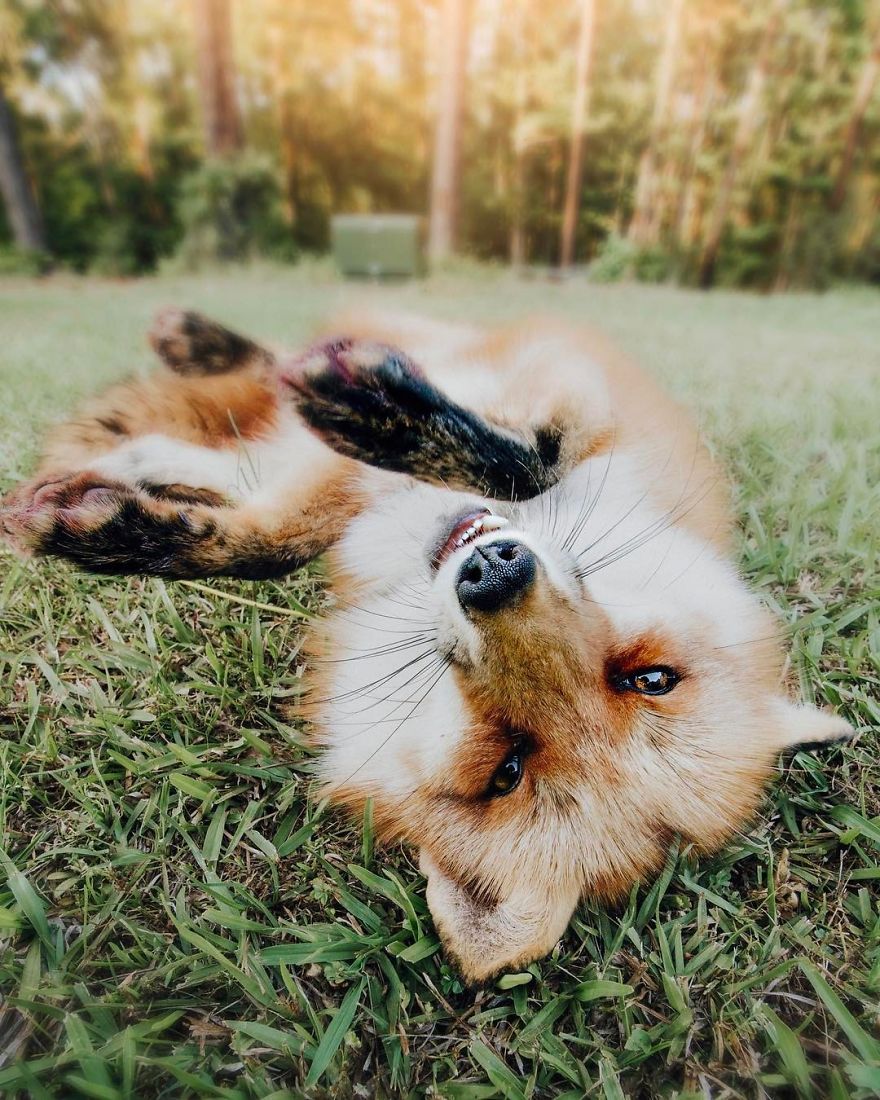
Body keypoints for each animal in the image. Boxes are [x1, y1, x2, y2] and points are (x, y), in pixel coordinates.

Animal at [1, 306, 855, 982]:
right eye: (651, 678)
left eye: (505, 770)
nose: (493, 574)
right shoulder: (583, 399)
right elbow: (517, 461)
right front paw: (378, 411)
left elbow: (276, 522)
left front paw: (121, 518)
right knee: (282, 359)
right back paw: (209, 346)